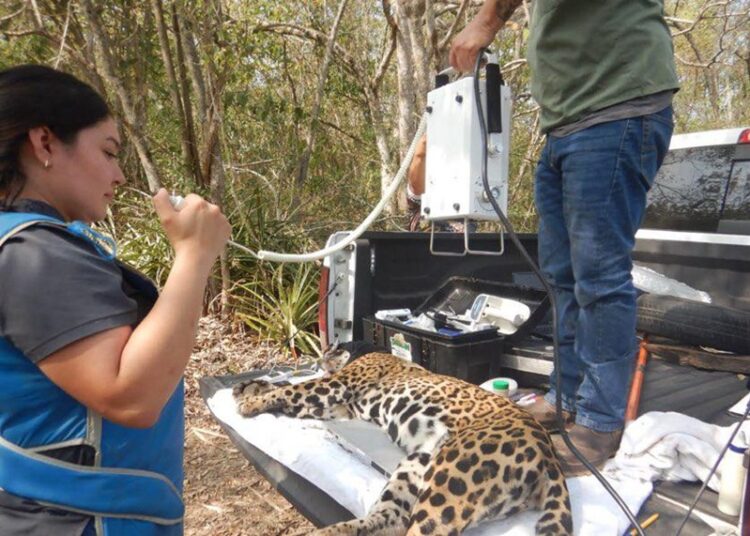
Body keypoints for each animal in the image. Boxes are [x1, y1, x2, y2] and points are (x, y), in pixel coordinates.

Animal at [232, 345, 573, 536]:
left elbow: (295, 388)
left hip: (449, 485)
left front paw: (250, 401)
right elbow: (290, 390)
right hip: (416, 465)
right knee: (389, 520)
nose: (323, 354)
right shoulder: (335, 406)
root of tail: (550, 457)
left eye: (337, 346)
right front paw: (249, 387)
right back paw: (328, 534)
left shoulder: (336, 386)